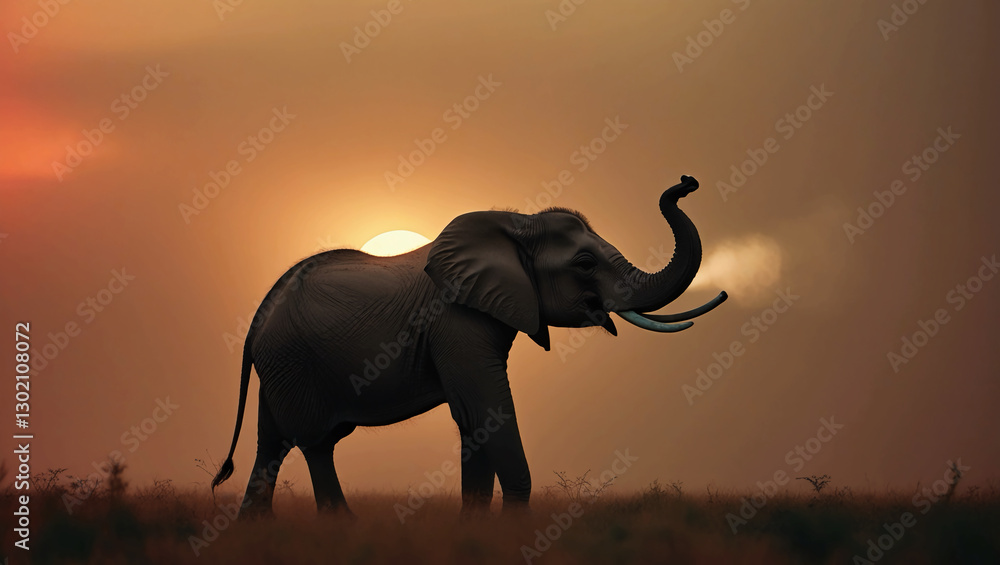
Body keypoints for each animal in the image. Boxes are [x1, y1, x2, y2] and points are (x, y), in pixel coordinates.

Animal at [211, 174, 727, 517]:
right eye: (584, 264)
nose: (686, 183)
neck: (516, 223)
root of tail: (258, 317)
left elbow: (474, 419)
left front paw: (475, 527)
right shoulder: (456, 322)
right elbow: (487, 410)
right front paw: (513, 529)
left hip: (281, 367)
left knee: (272, 443)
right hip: (292, 361)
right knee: (315, 443)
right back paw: (341, 527)